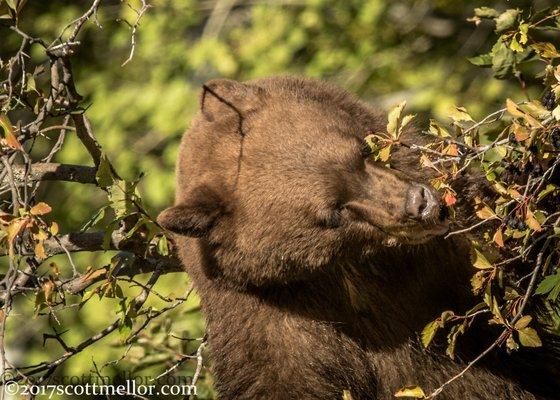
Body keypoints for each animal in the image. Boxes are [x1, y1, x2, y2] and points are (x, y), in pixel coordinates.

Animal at [158, 76, 560, 398]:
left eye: (361, 151)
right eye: (334, 211)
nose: (423, 205)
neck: (348, 270)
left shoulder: (435, 264)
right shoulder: (275, 326)